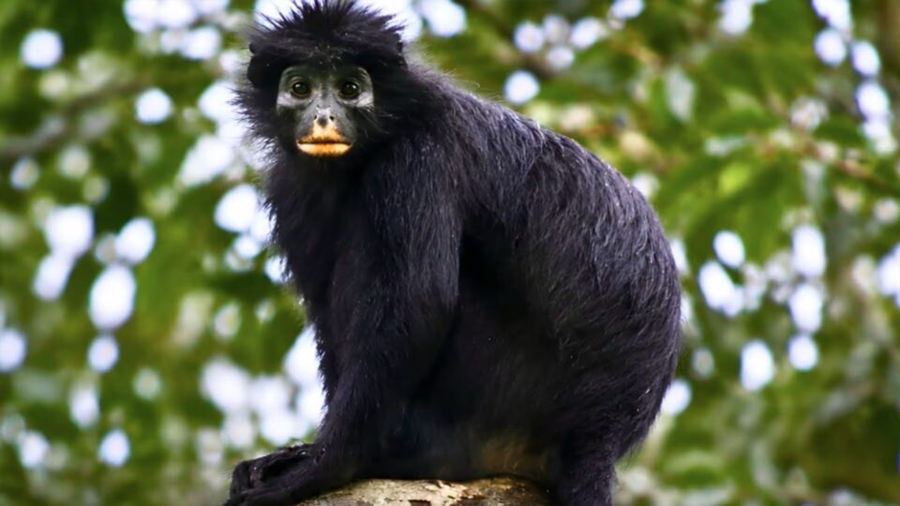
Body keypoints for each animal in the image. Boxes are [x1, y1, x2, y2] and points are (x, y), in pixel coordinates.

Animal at [226, 1, 681, 505]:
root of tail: (602, 435)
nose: (323, 117)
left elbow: (417, 304)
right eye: (300, 88)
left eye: (349, 89)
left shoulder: (417, 159)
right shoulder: (290, 187)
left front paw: (325, 465)